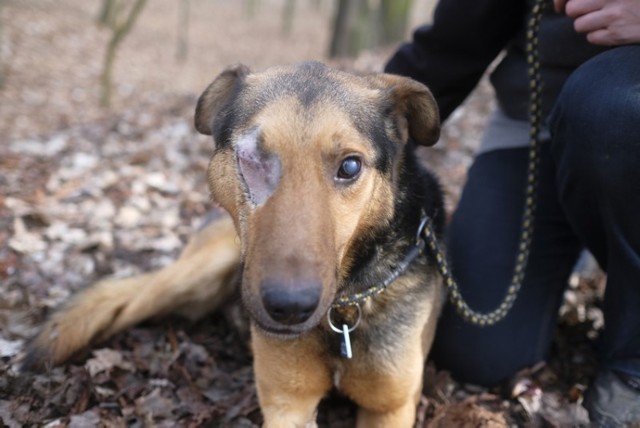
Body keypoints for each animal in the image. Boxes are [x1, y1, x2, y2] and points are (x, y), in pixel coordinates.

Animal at [25, 61, 444, 426]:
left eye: (350, 166)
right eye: (251, 157)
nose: (289, 307)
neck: (341, 313)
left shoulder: (391, 406)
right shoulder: (286, 403)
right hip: (201, 271)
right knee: (126, 300)